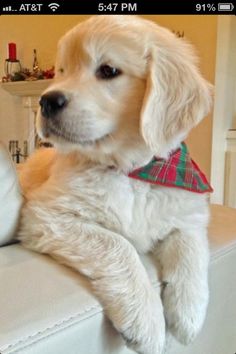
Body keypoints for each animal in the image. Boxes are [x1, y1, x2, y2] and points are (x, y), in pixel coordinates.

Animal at [18, 15, 212, 354]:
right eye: (62, 71)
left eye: (108, 71)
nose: (45, 101)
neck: (130, 171)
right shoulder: (47, 214)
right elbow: (118, 245)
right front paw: (147, 321)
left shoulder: (188, 213)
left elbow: (192, 248)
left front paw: (189, 316)